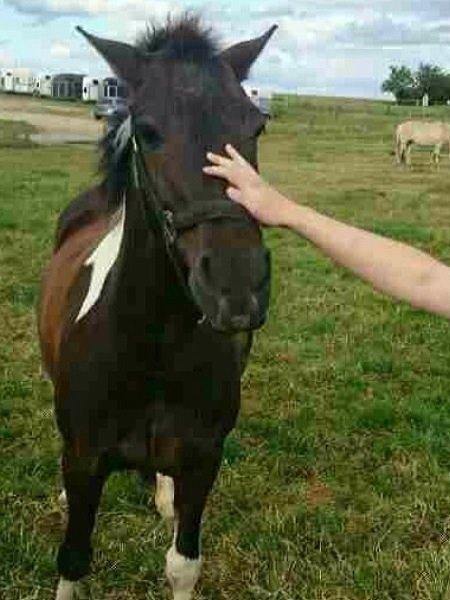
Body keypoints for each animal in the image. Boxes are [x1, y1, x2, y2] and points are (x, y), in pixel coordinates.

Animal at [38, 15, 276, 600]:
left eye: (256, 126)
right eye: (146, 131)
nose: (236, 289)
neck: (151, 348)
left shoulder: (203, 459)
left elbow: (183, 564)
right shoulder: (85, 462)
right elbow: (73, 558)